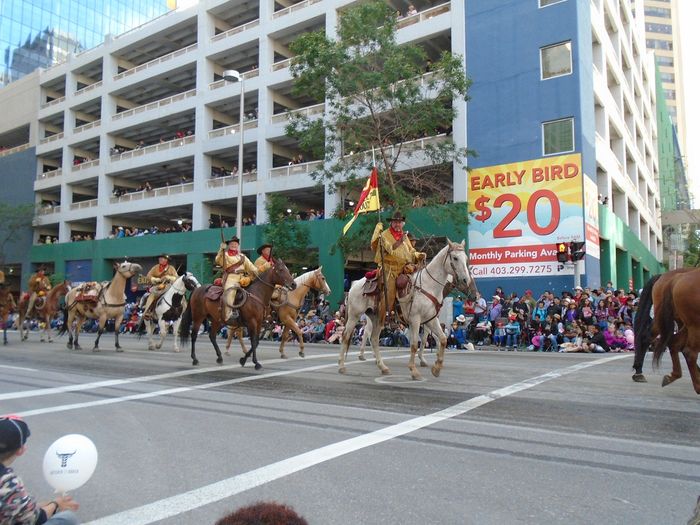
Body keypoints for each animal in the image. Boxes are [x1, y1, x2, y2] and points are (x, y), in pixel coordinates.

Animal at [340, 239, 476, 378]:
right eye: (455, 258)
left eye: (465, 258)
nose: (466, 280)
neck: (428, 285)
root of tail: (354, 285)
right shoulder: (415, 320)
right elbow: (415, 343)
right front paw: (414, 370)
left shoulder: (431, 319)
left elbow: (442, 339)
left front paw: (436, 368)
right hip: (354, 315)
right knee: (346, 336)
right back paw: (342, 366)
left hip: (376, 317)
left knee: (373, 338)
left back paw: (382, 367)